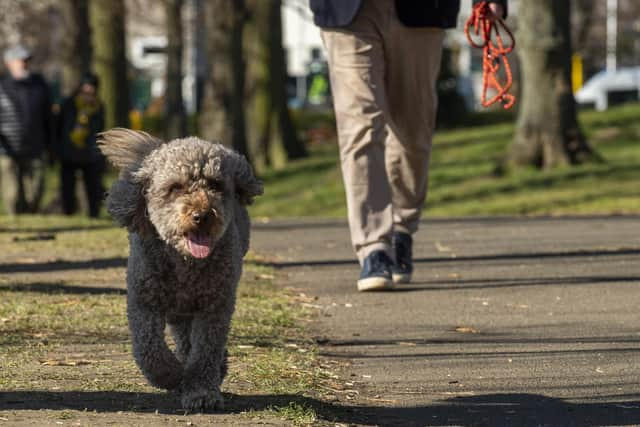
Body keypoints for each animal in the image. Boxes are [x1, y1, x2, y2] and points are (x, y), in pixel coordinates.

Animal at [99, 130, 262, 412]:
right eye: (174, 187)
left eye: (215, 185)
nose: (202, 215)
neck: (184, 262)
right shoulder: (143, 301)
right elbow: (149, 349)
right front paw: (171, 375)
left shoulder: (215, 307)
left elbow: (206, 351)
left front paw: (201, 392)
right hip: (176, 309)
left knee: (192, 344)